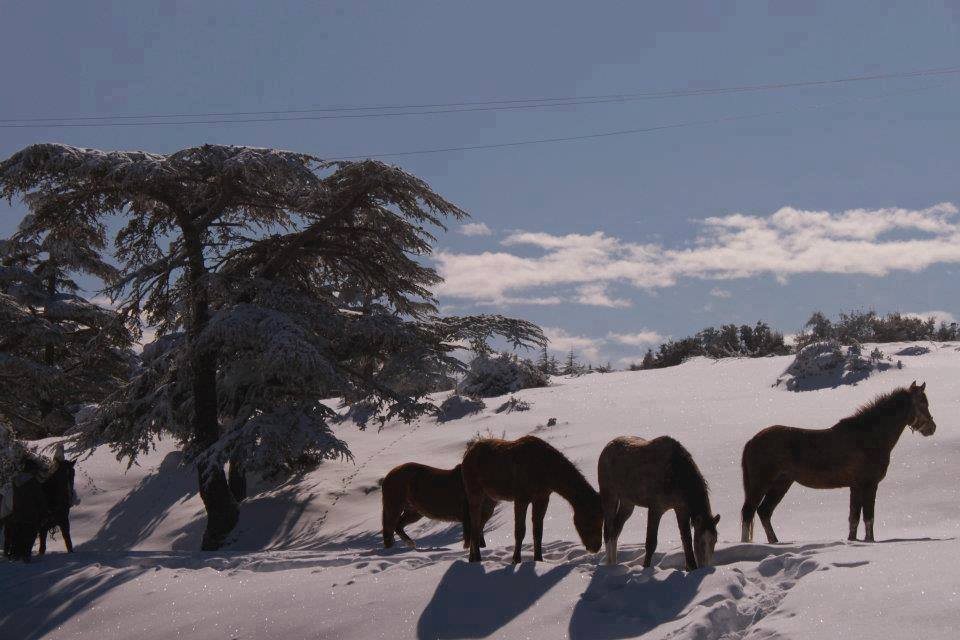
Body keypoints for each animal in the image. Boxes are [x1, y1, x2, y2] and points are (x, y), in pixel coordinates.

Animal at [461, 435, 603, 563]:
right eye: (590, 519)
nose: (595, 547)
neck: (545, 470)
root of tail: (467, 453)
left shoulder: (542, 499)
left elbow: (538, 532)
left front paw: (538, 559)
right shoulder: (521, 499)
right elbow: (520, 531)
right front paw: (516, 559)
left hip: (491, 499)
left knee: (479, 525)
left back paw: (473, 557)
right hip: (475, 493)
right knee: (474, 525)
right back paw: (476, 558)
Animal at [598, 436, 720, 570]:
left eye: (715, 540)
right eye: (700, 541)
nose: (705, 567)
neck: (677, 475)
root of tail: (607, 447)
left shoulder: (681, 509)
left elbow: (686, 540)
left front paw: (691, 568)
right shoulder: (656, 508)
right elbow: (651, 543)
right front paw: (646, 567)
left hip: (627, 503)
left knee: (615, 531)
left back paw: (614, 565)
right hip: (610, 497)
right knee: (608, 531)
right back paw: (609, 565)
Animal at [741, 381, 936, 544]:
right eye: (922, 403)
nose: (932, 428)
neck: (869, 436)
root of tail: (752, 440)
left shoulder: (856, 486)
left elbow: (854, 518)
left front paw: (852, 541)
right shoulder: (869, 484)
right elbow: (868, 517)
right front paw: (870, 541)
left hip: (781, 484)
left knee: (764, 512)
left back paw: (774, 541)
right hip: (761, 484)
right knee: (748, 512)